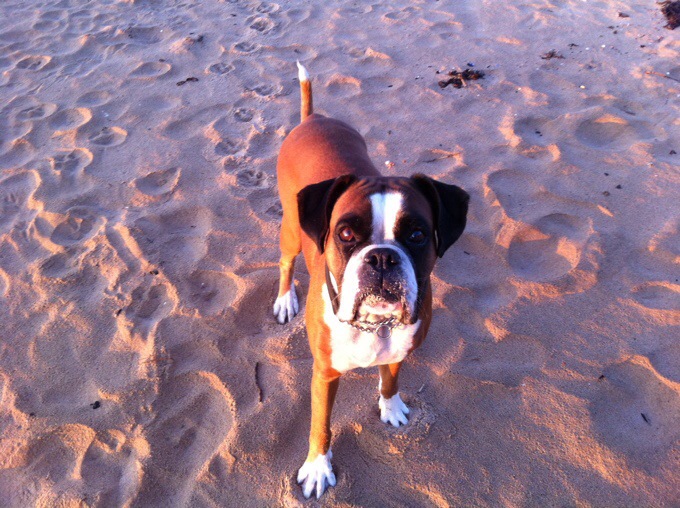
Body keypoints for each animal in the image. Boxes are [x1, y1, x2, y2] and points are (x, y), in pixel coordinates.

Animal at [273, 62, 469, 499]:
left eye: (416, 234)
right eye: (346, 234)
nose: (381, 257)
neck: (373, 325)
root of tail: (313, 119)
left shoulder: (399, 349)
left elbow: (390, 379)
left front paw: (391, 406)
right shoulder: (324, 375)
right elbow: (321, 426)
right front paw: (317, 466)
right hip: (291, 231)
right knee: (284, 264)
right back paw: (284, 299)